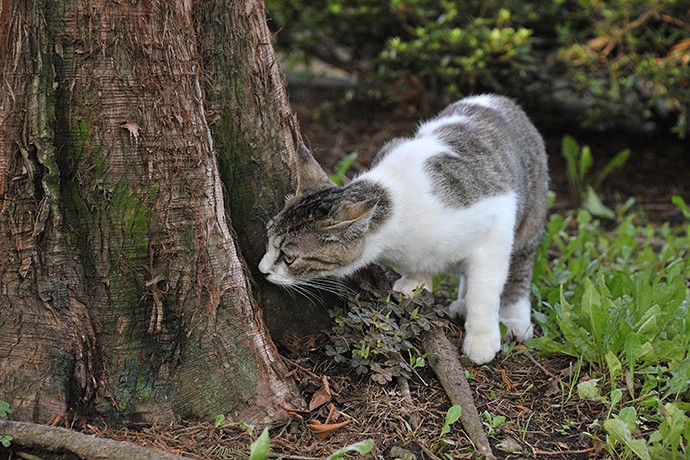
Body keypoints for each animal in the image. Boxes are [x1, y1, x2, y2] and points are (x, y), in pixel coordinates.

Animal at [258, 95, 548, 364]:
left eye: (289, 257)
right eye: (269, 239)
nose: (262, 269)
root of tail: (499, 98)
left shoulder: (498, 218)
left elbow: (485, 290)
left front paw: (482, 338)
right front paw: (416, 280)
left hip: (530, 216)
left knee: (519, 266)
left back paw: (514, 318)